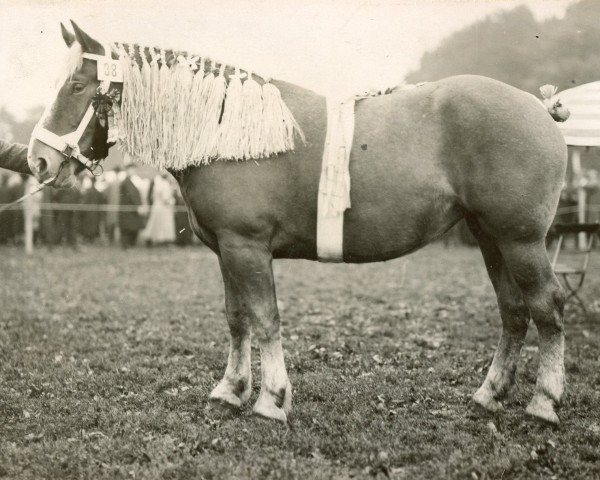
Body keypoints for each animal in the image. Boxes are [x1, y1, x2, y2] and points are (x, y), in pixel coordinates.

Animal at [28, 21, 568, 424]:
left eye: (76, 85)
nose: (37, 161)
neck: (224, 127)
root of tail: (539, 107)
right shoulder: (227, 250)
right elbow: (237, 318)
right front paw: (230, 390)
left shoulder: (247, 247)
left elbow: (265, 318)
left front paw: (272, 400)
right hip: (490, 238)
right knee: (513, 312)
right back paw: (489, 396)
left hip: (520, 240)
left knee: (547, 307)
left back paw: (544, 402)